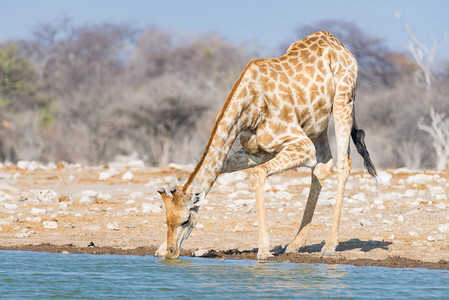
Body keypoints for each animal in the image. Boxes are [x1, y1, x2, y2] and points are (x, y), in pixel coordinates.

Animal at [154, 31, 374, 258]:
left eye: (185, 220)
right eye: (166, 220)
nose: (171, 251)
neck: (249, 107)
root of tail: (339, 45)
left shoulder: (302, 146)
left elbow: (257, 174)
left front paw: (264, 249)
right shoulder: (256, 152)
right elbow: (220, 169)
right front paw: (160, 248)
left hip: (343, 102)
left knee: (344, 164)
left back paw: (329, 245)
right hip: (317, 124)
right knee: (323, 165)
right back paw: (295, 244)